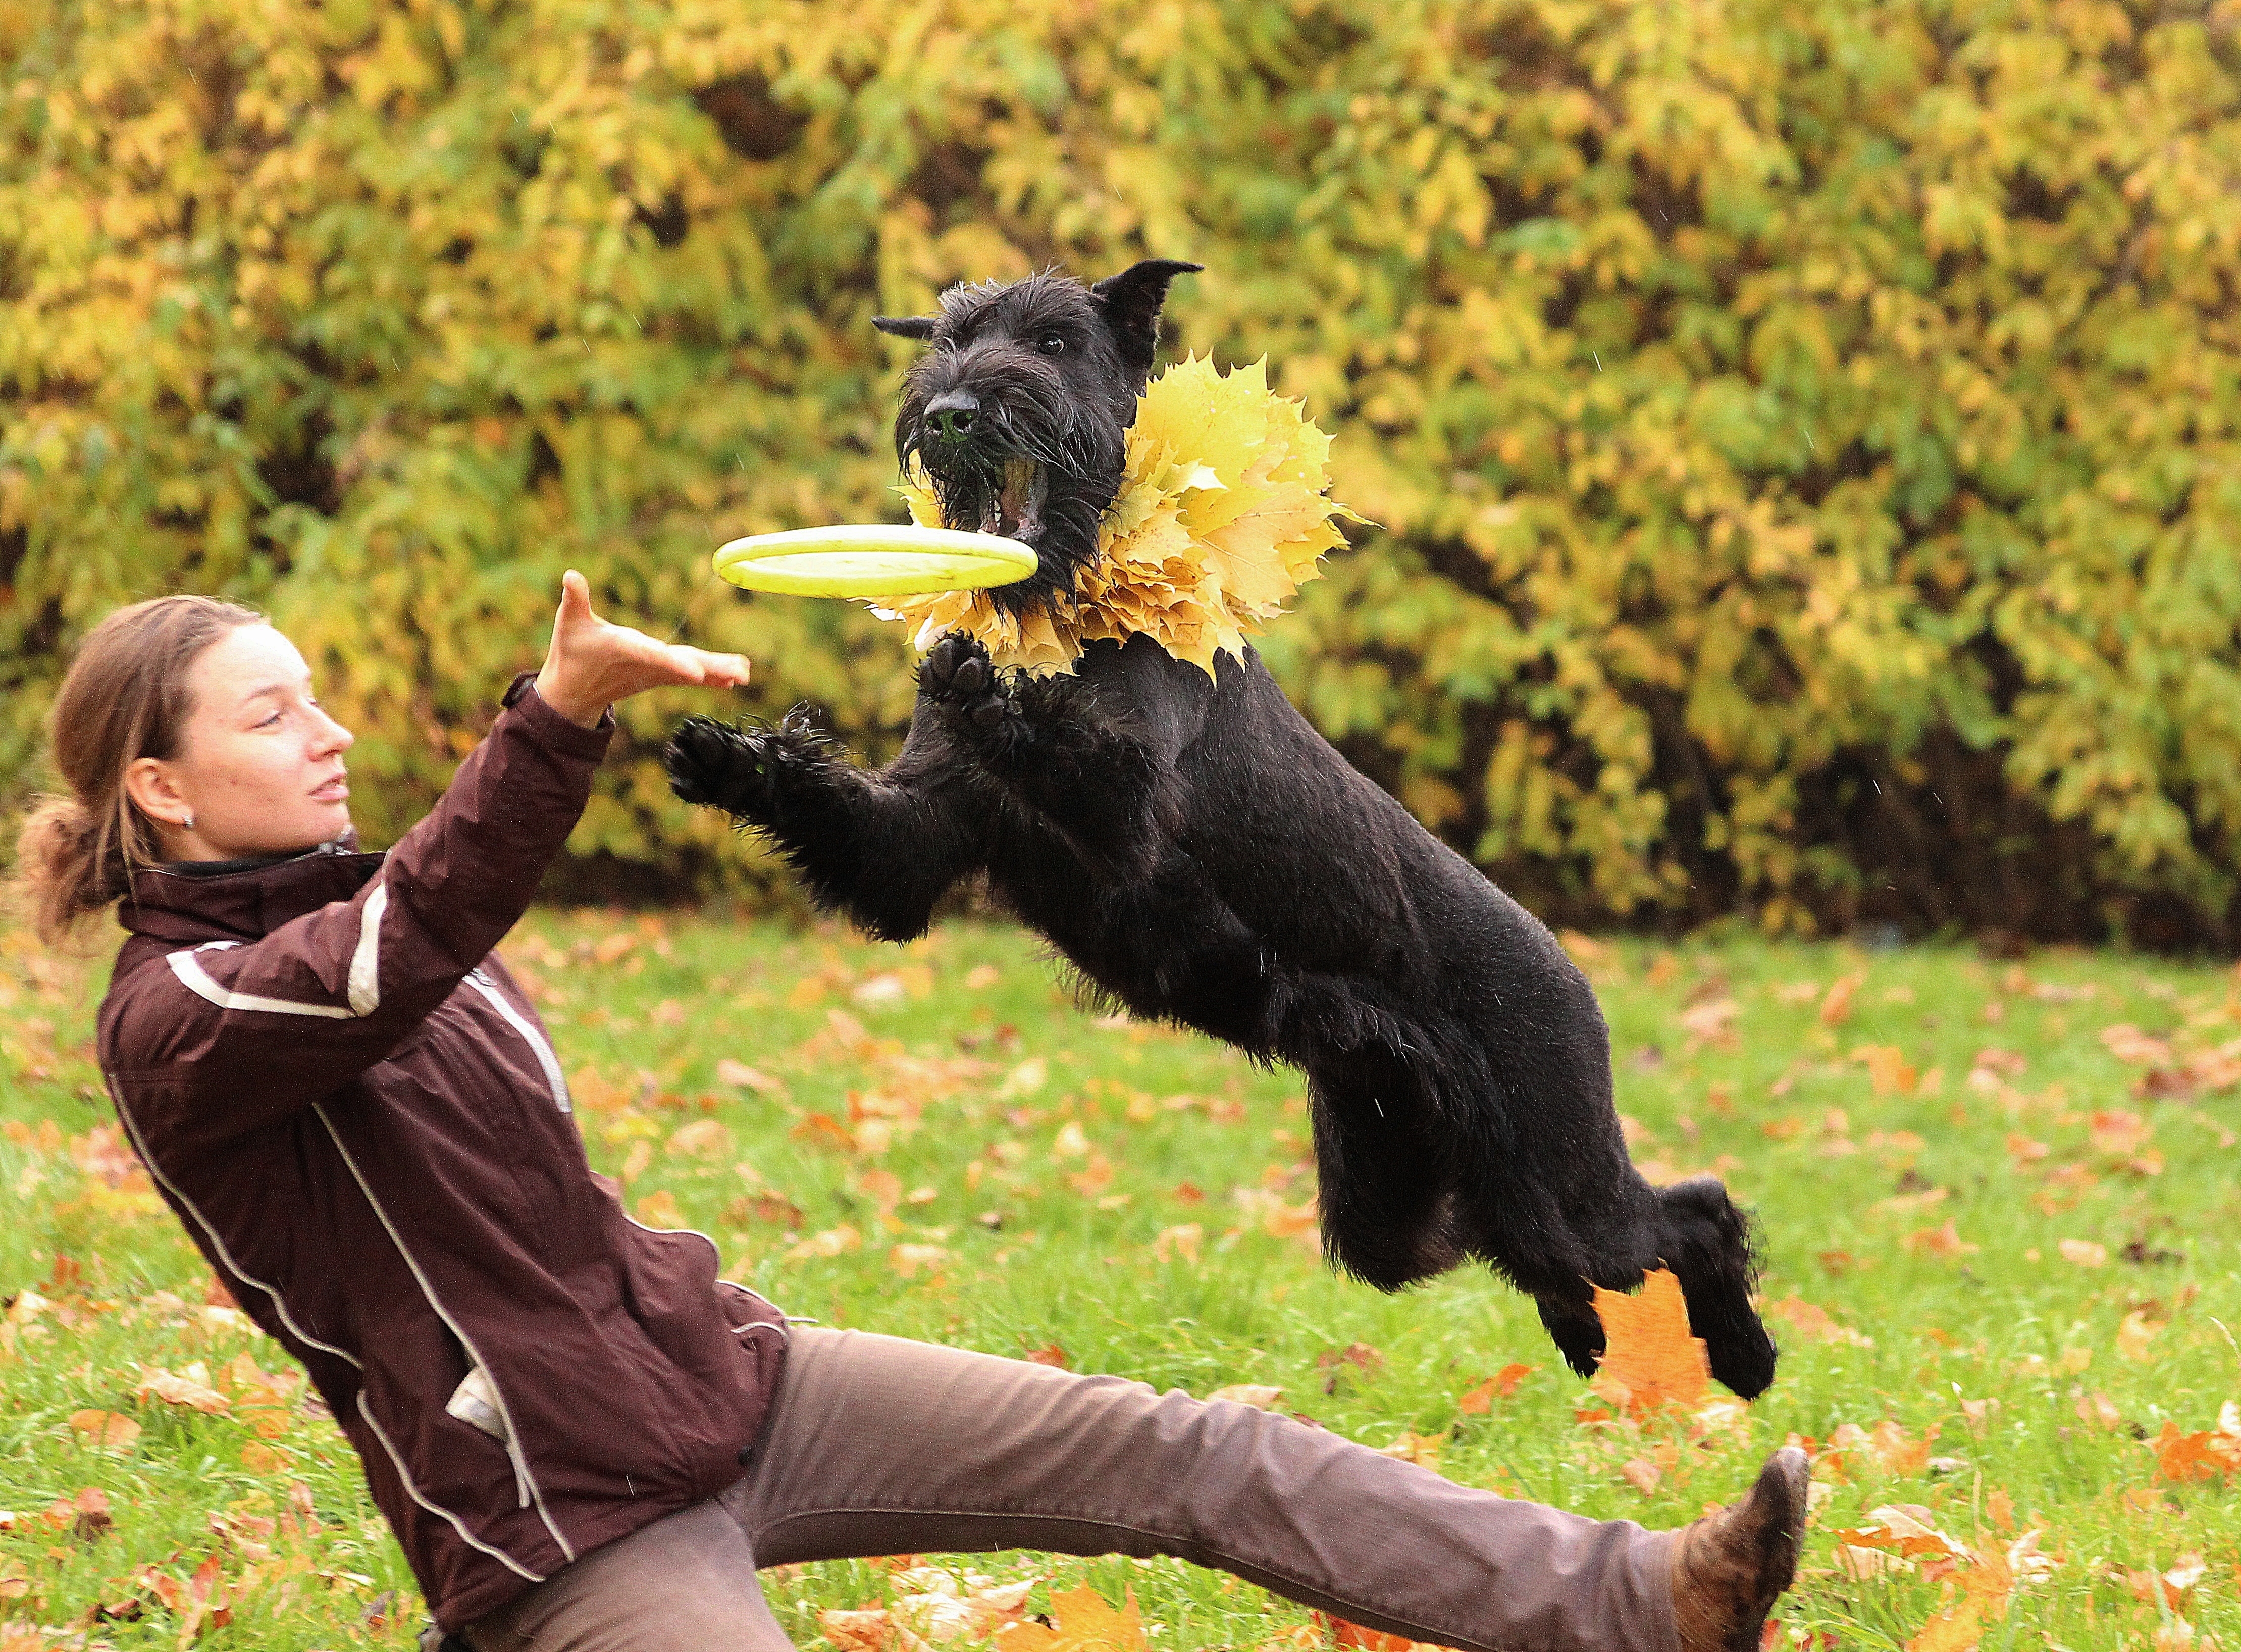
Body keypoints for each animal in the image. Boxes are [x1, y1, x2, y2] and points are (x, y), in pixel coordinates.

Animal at [663, 261, 1784, 1389]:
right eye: (945, 339)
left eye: (1057, 342)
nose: (952, 411)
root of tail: (1579, 981)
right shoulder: (919, 838)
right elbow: (856, 826)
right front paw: (727, 757)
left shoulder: (1126, 816)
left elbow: (1066, 745)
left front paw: (988, 689)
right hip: (1412, 1204)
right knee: (1549, 1259)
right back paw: (1588, 1336)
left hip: (1557, 1170)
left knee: (1692, 1212)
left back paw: (1741, 1355)